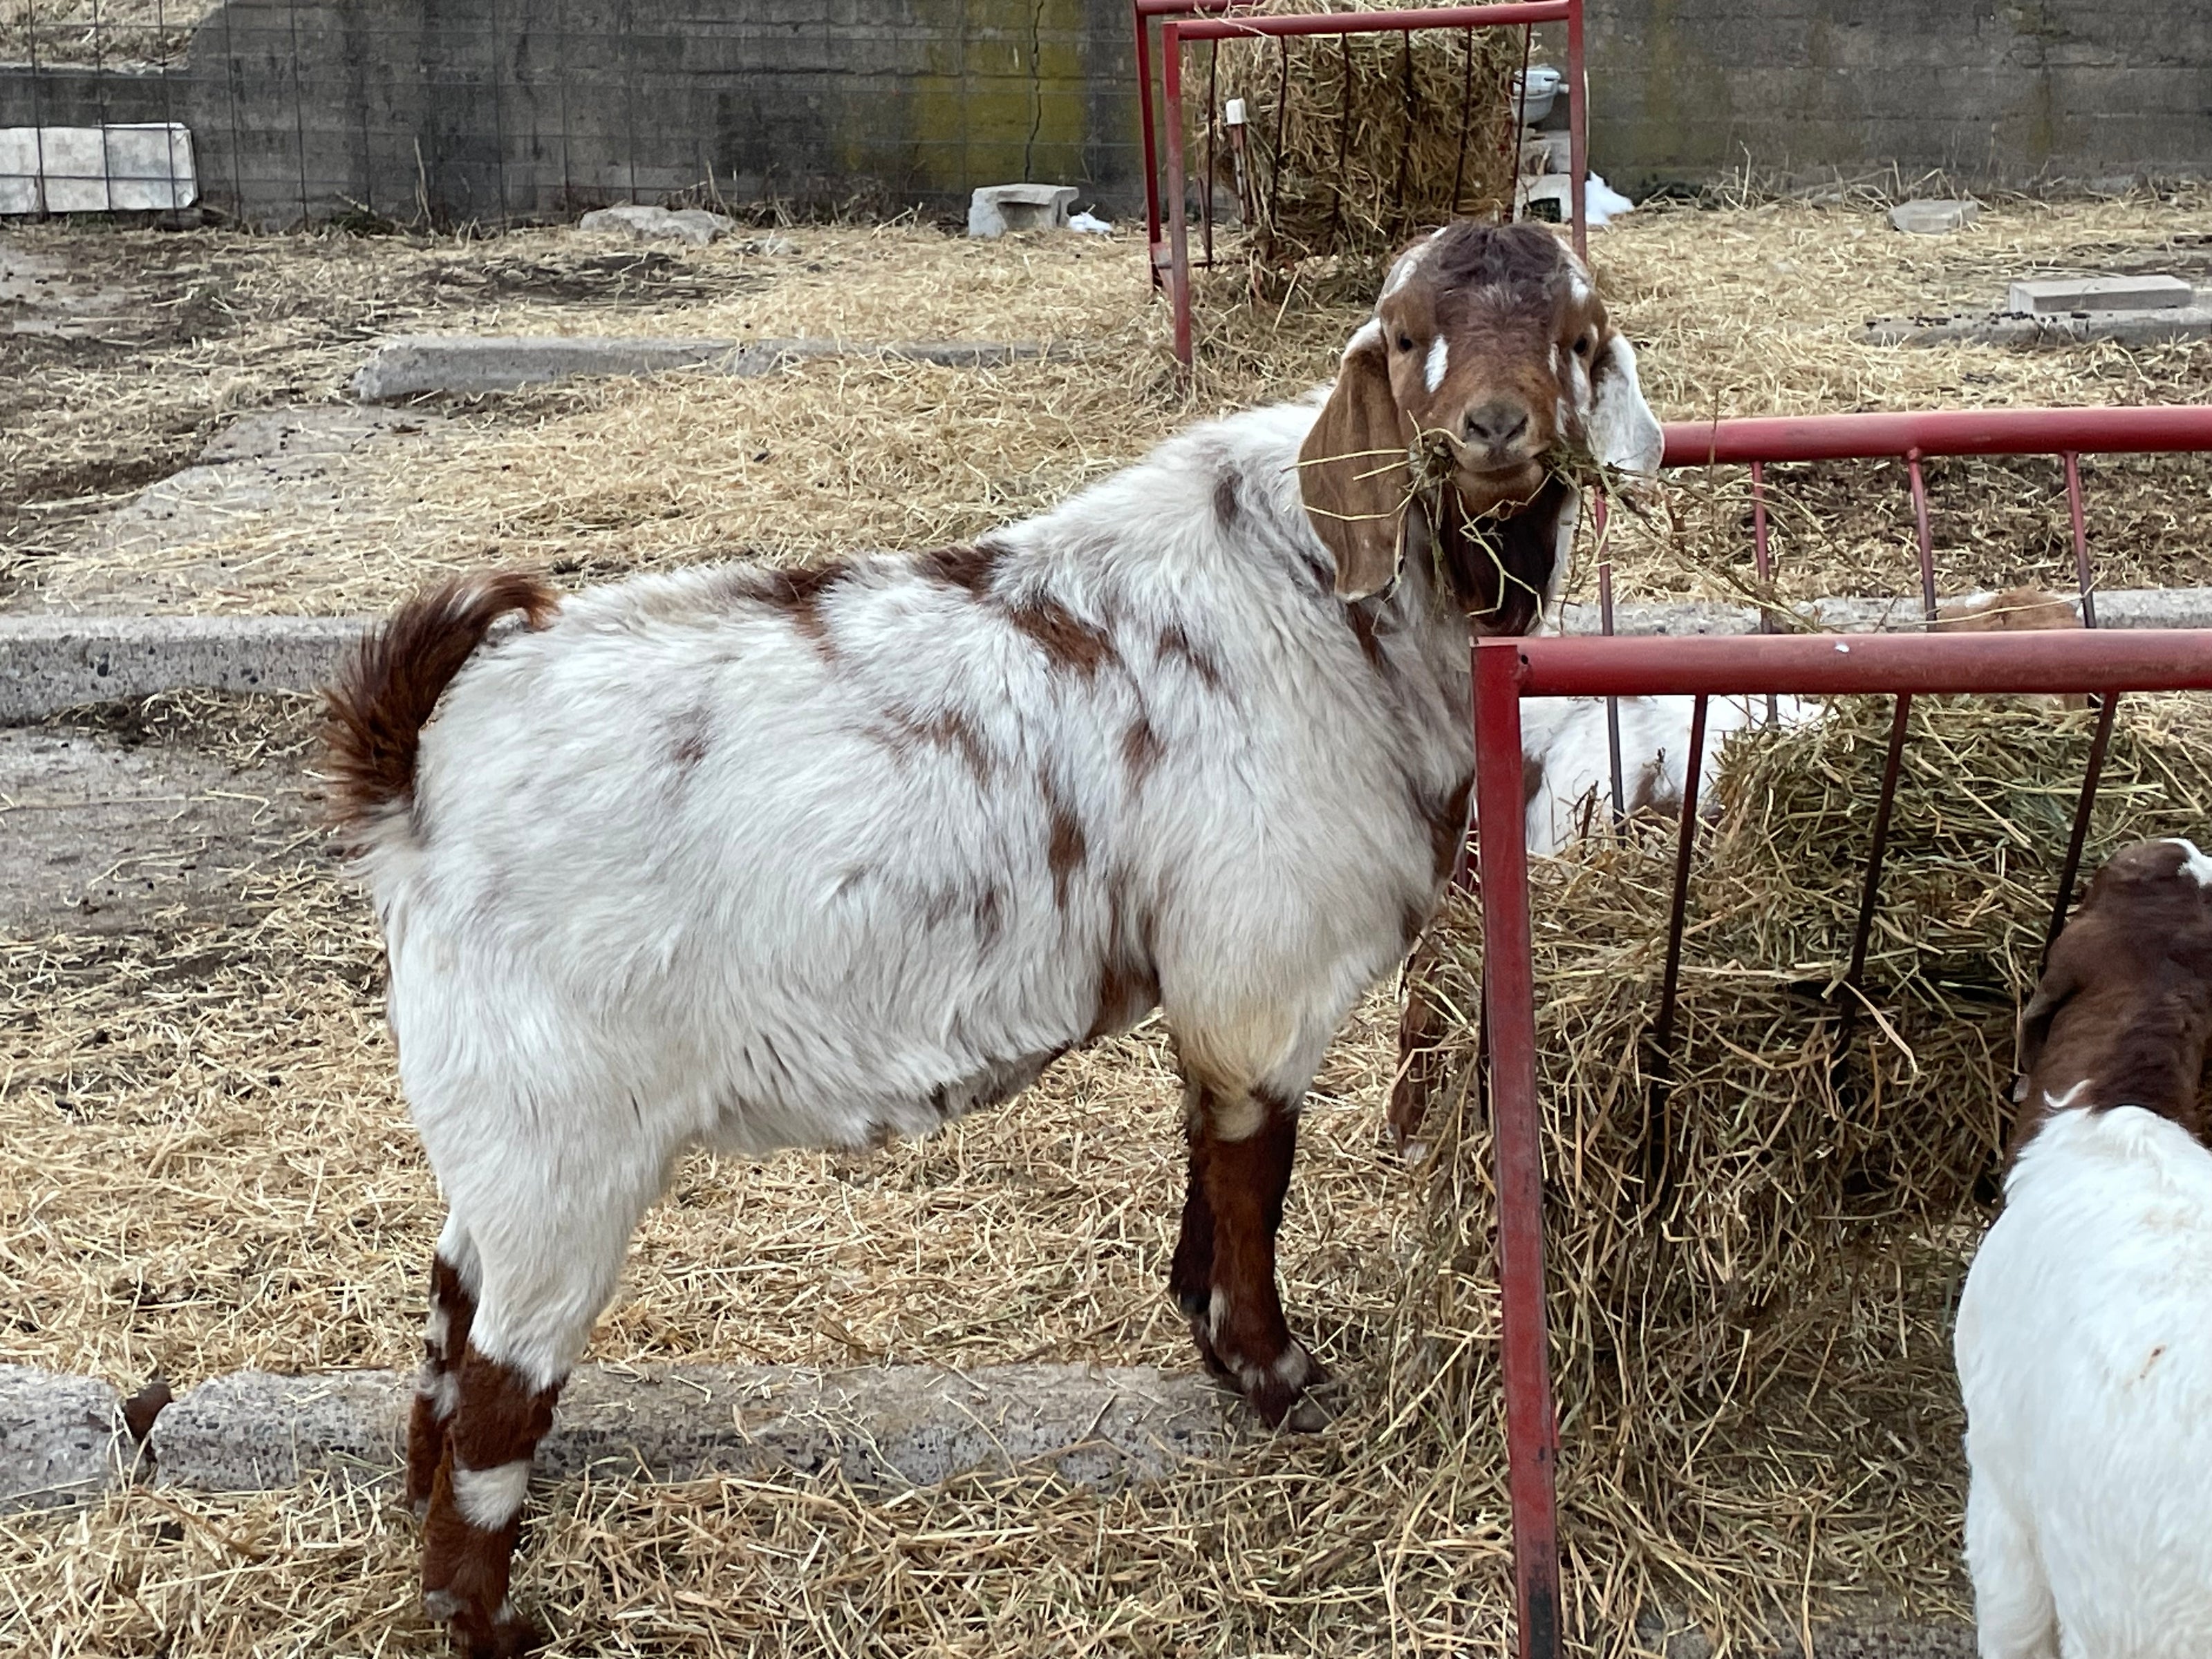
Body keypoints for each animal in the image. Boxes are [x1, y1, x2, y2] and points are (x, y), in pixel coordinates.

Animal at [320, 220, 1663, 1658]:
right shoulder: (1259, 965)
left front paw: (1206, 1331)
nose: (1492, 430)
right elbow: (1254, 1171)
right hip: (563, 1128)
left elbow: (1207, 1157)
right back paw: (487, 1617)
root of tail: (417, 774)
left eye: (1579, 336)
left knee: (449, 1312)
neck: (1324, 601)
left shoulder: (1215, 991)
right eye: (1407, 336)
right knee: (502, 1375)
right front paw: (1275, 1375)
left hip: (500, 1120)